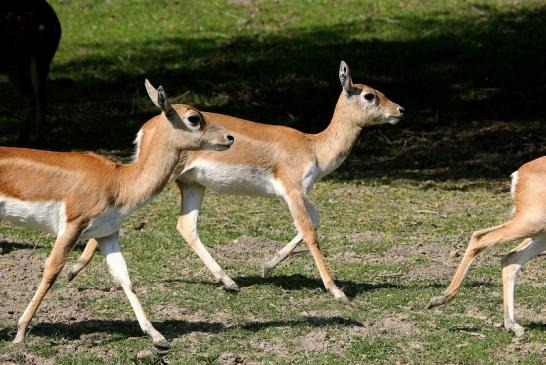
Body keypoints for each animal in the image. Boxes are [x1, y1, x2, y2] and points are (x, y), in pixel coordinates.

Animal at [0, 1, 61, 144]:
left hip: (41, 58)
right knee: (31, 97)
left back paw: (38, 141)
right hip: (15, 67)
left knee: (41, 99)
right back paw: (22, 139)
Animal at [0, 80, 234, 346]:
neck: (119, 181)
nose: (229, 137)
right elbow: (51, 271)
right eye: (194, 118)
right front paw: (20, 334)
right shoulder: (72, 225)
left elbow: (124, 277)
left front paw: (157, 336)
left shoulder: (107, 233)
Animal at [68, 61, 402, 302]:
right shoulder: (292, 189)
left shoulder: (300, 192)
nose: (400, 109)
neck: (314, 146)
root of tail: (148, 127)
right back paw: (73, 270)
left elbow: (316, 220)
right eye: (370, 95)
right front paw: (337, 291)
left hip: (193, 185)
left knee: (185, 226)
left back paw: (228, 281)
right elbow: (309, 230)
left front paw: (266, 266)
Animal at [428, 156, 544, 336]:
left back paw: (512, 325)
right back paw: (441, 298)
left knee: (510, 259)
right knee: (480, 237)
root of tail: (521, 171)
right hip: (533, 223)